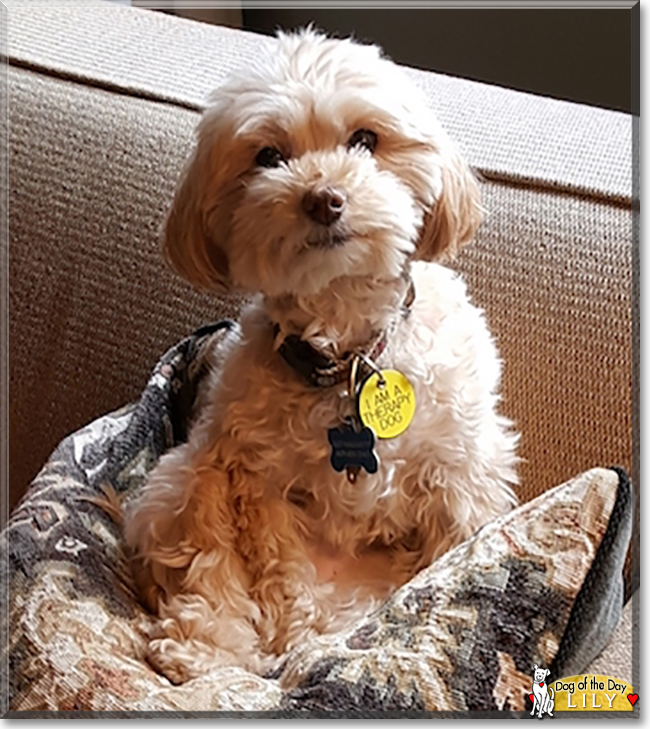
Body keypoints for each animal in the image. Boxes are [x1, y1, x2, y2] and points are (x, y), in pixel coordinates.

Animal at [124, 28, 520, 684]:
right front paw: (293, 649)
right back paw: (206, 650)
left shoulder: (463, 471)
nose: (324, 198)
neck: (351, 355)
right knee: (209, 576)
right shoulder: (257, 486)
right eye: (267, 156)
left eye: (365, 139)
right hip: (185, 480)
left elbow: (453, 553)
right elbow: (282, 582)